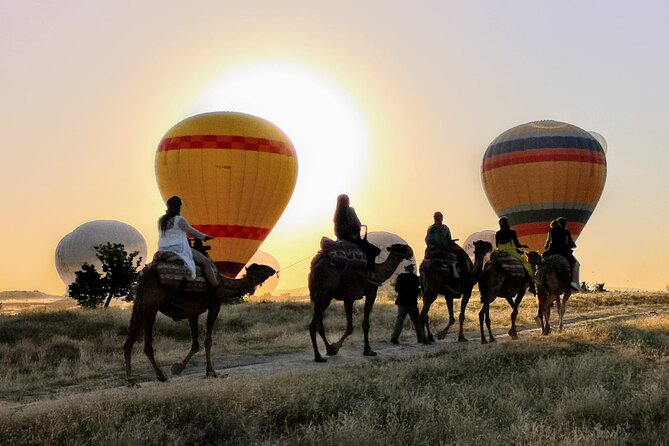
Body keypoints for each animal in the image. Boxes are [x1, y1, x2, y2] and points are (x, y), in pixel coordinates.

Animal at [122, 264, 274, 386]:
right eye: (261, 268)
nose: (272, 270)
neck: (223, 285)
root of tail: (144, 277)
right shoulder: (214, 304)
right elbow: (207, 341)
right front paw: (211, 372)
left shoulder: (192, 313)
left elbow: (195, 344)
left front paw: (178, 367)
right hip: (150, 303)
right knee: (135, 340)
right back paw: (135, 380)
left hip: (145, 305)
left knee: (140, 341)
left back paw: (153, 377)